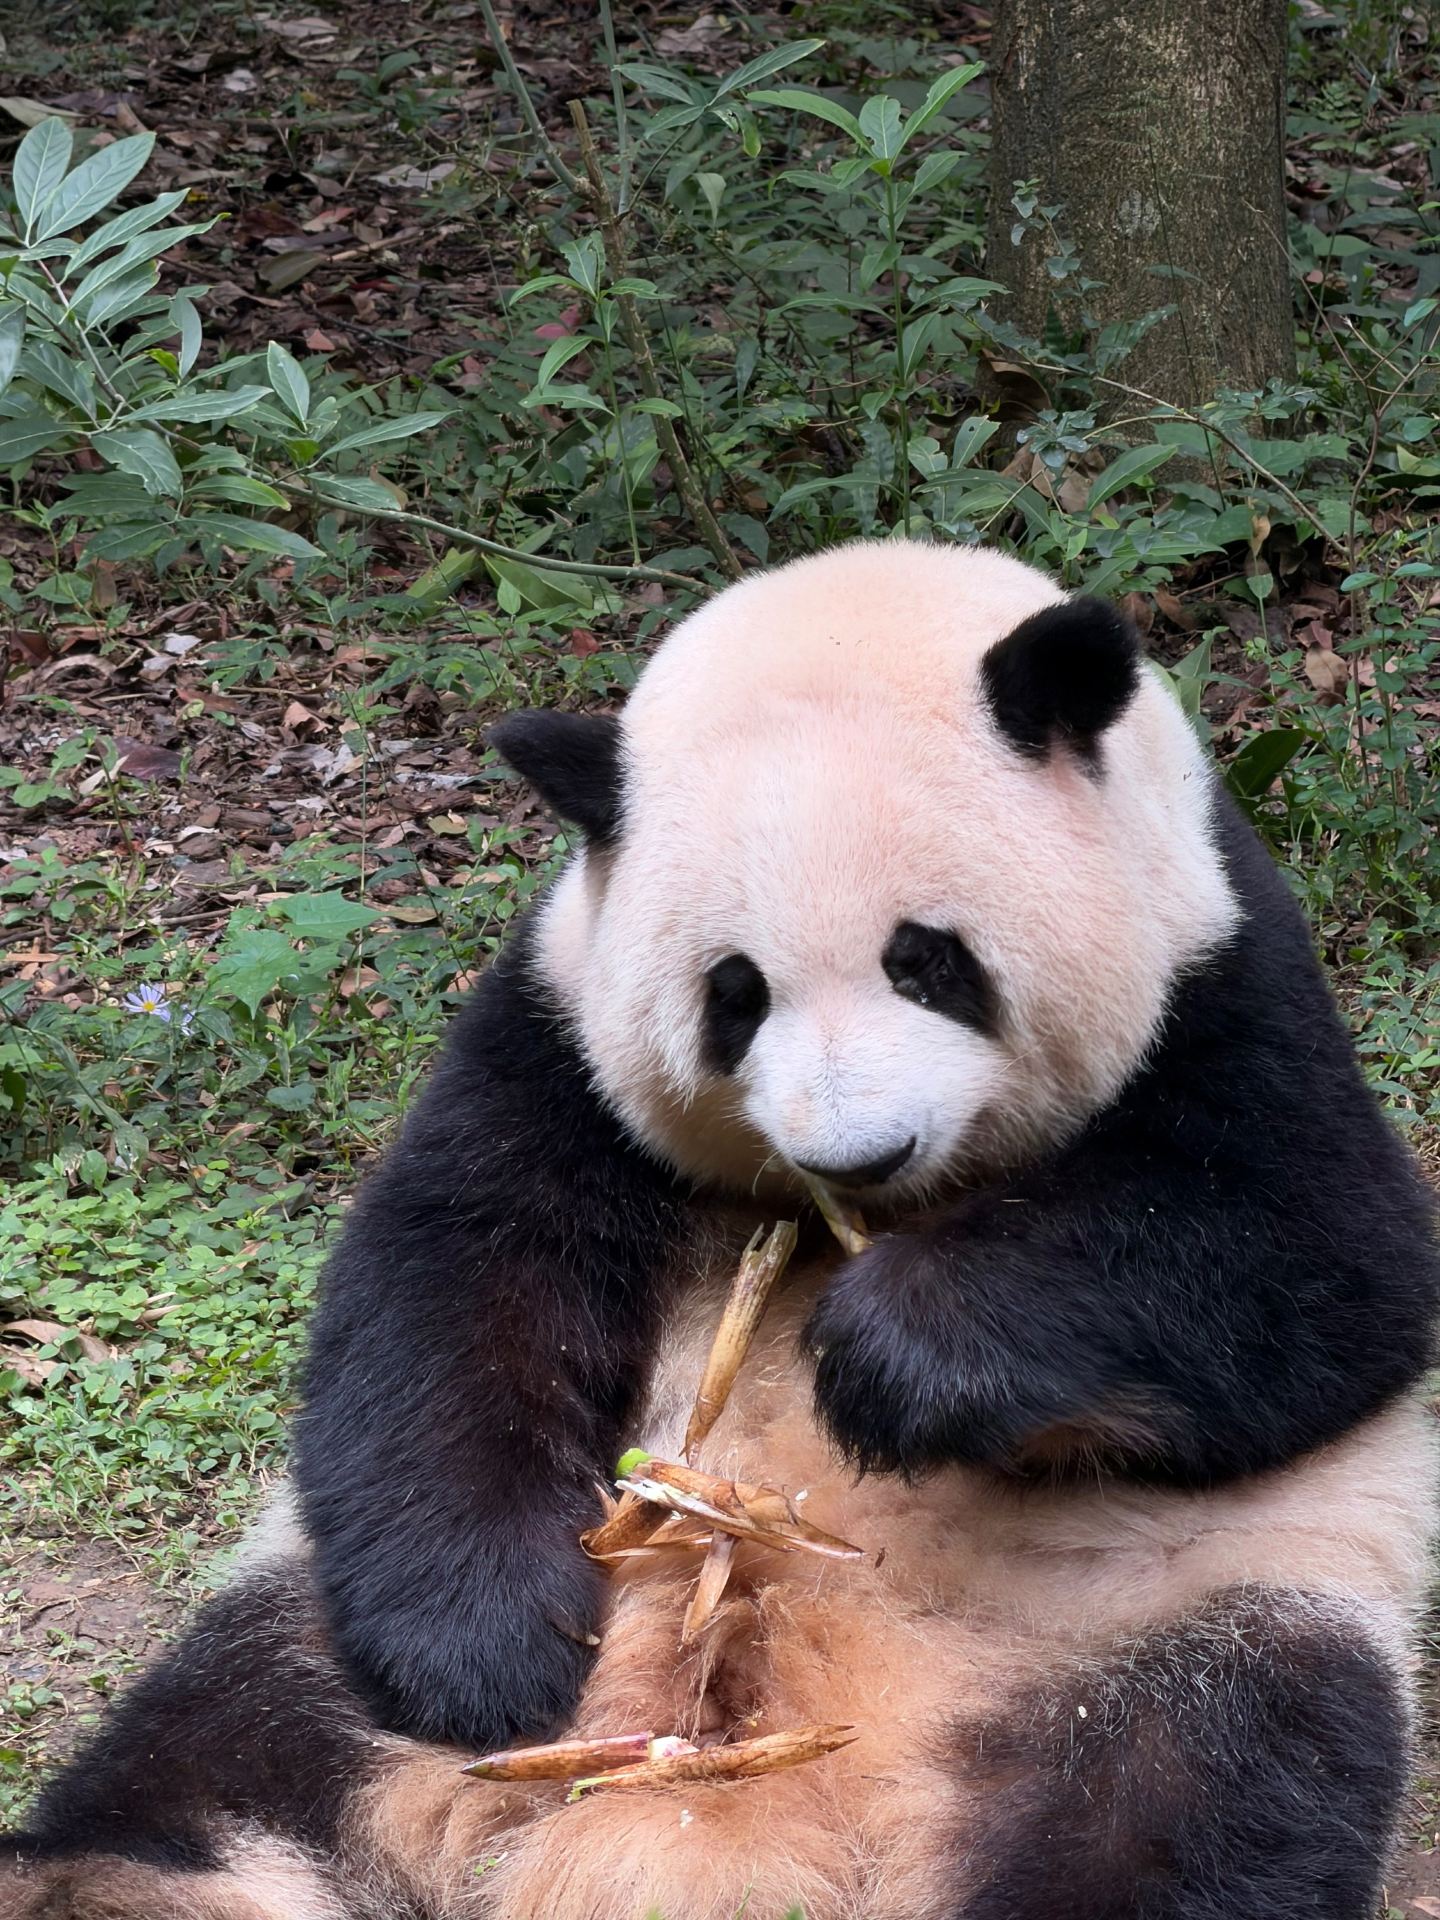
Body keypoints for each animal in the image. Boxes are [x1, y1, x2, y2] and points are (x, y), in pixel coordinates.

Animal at [6, 540, 1438, 1920]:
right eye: (734, 995)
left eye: (928, 960)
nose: (856, 1156)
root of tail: (722, 1834)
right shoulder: (557, 1026)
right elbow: (459, 1276)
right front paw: (490, 1652)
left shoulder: (1224, 976)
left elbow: (1319, 1274)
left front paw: (895, 1358)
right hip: (305, 1644)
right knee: (217, 1768)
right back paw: (113, 1888)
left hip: (1177, 1626)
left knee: (1193, 1803)